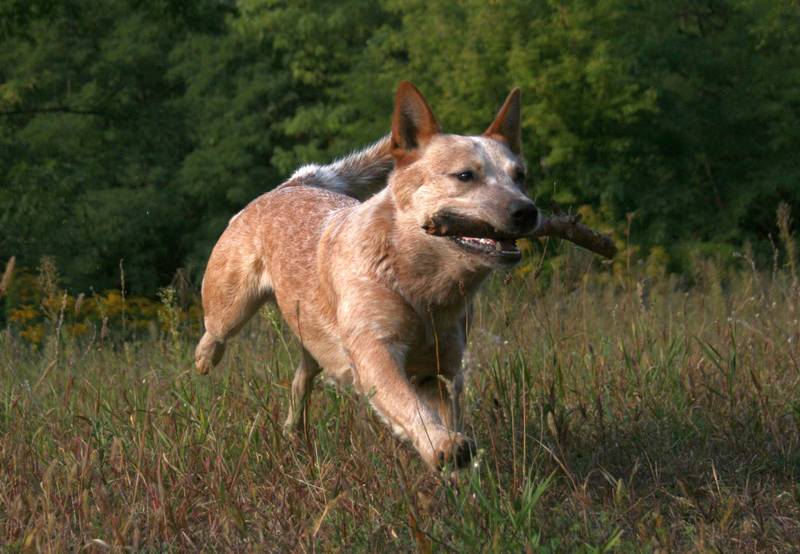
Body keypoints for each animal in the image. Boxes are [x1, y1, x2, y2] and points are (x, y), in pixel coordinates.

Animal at [197, 84, 540, 468]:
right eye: (465, 175)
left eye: (520, 176)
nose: (527, 211)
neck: (423, 290)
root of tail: (292, 184)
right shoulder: (375, 351)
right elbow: (408, 405)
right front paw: (444, 445)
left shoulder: (438, 368)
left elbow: (439, 409)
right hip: (232, 306)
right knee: (216, 331)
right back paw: (205, 360)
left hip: (315, 338)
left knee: (302, 378)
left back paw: (294, 433)